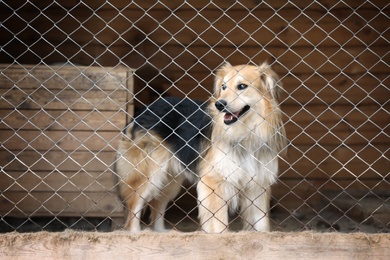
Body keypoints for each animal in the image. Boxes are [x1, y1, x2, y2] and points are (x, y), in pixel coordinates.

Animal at [116, 63, 286, 234]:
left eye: (242, 86)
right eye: (223, 86)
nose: (219, 105)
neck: (246, 134)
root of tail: (143, 111)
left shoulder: (258, 185)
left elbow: (262, 225)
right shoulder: (213, 182)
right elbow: (219, 225)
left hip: (169, 181)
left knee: (157, 205)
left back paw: (161, 232)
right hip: (148, 174)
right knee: (134, 209)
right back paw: (135, 233)